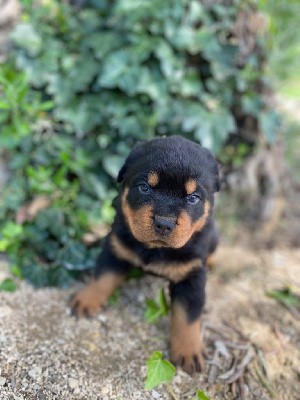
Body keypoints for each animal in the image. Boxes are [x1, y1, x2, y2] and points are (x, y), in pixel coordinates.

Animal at [71, 136, 219, 374]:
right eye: (144, 187)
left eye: (193, 198)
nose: (164, 223)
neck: (154, 249)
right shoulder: (116, 248)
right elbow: (103, 277)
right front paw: (87, 299)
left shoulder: (191, 275)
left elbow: (187, 316)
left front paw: (189, 351)